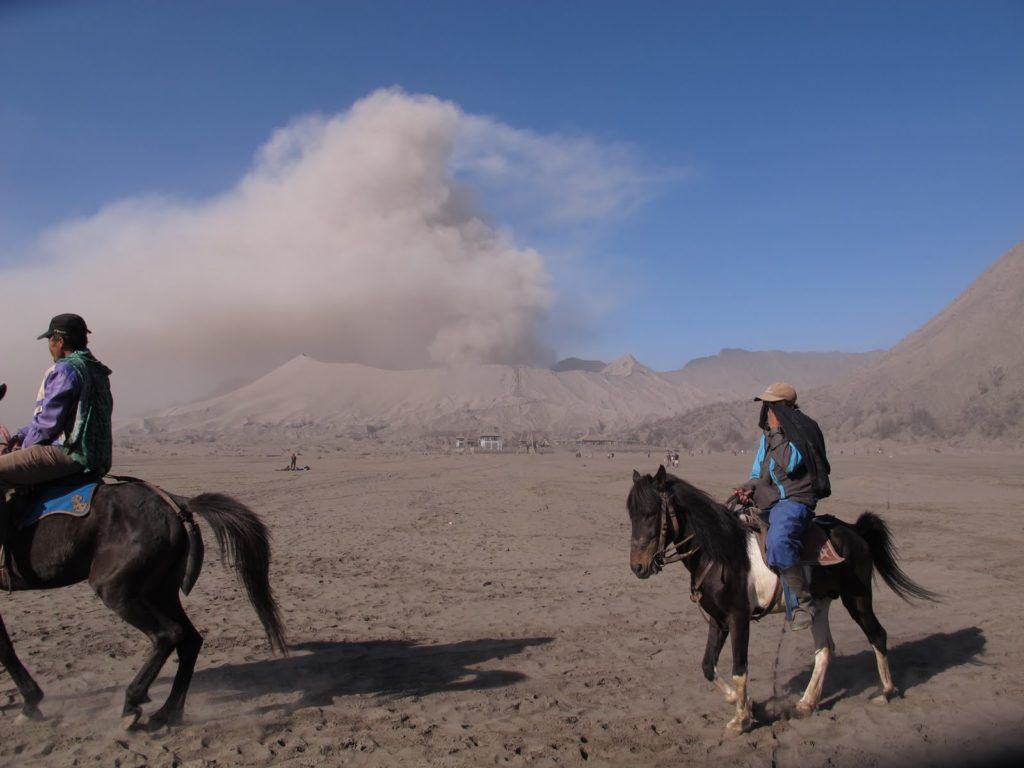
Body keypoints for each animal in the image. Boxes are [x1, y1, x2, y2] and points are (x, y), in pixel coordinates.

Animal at [2, 385, 288, 733]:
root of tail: (175, 505)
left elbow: (4, 647)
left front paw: (30, 702)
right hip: (159, 589)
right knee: (189, 639)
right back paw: (167, 711)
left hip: (116, 588)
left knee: (168, 635)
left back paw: (132, 703)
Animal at [622, 466, 937, 737]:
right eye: (631, 515)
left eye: (650, 513)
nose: (638, 567)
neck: (721, 554)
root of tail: (854, 531)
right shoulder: (718, 619)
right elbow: (707, 667)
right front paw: (745, 704)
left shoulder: (738, 618)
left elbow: (740, 668)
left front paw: (741, 720)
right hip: (820, 603)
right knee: (824, 649)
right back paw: (807, 703)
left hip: (857, 598)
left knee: (877, 635)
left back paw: (885, 693)